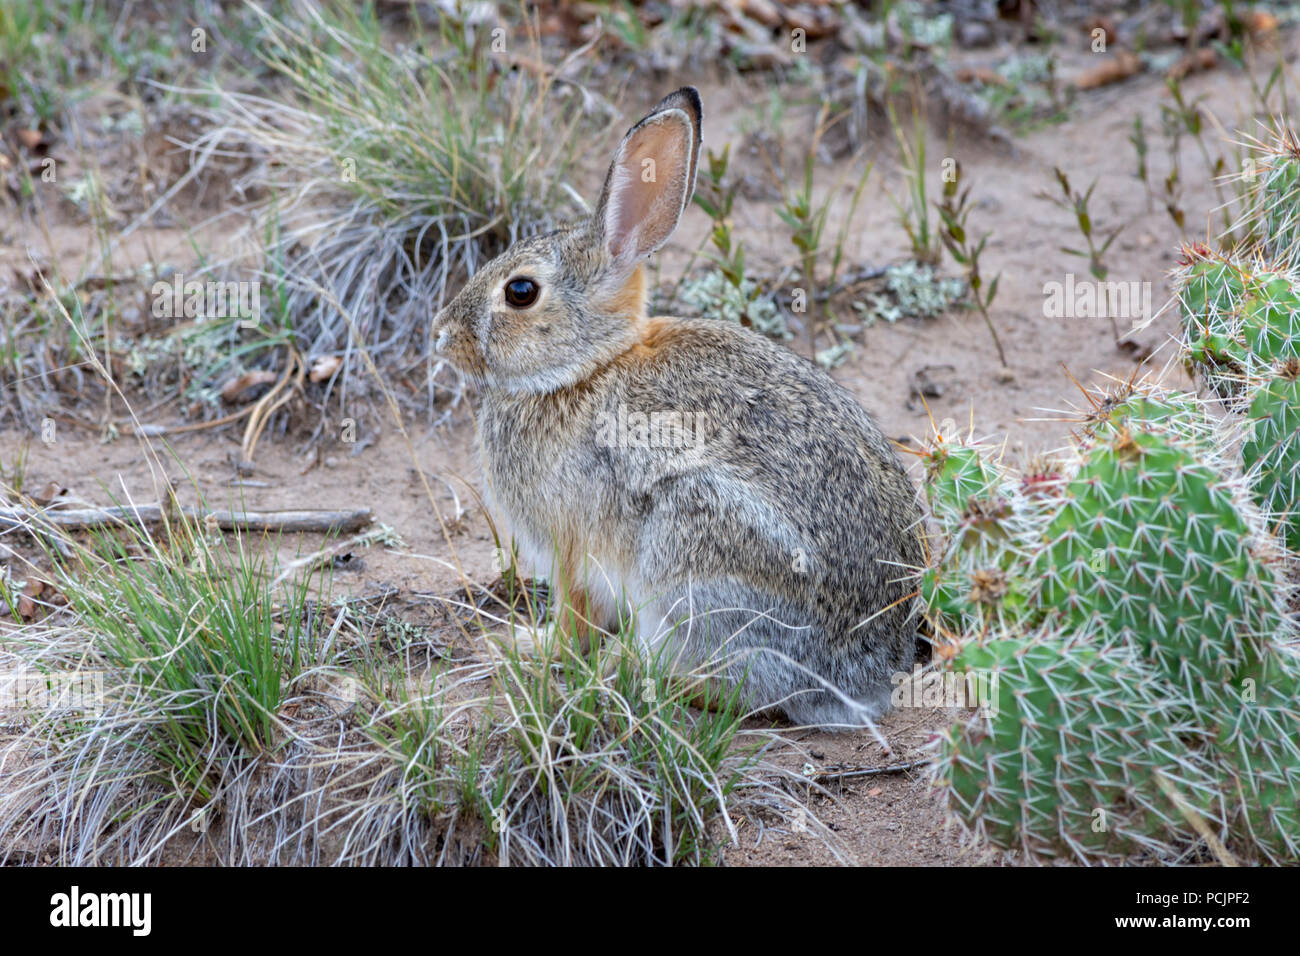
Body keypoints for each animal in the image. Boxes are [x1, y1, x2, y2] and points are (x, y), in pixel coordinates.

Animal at [434, 89, 925, 728]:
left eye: (520, 292)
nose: (442, 336)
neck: (586, 369)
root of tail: (866, 676)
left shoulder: (572, 549)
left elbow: (574, 618)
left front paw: (530, 648)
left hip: (690, 552)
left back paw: (628, 667)